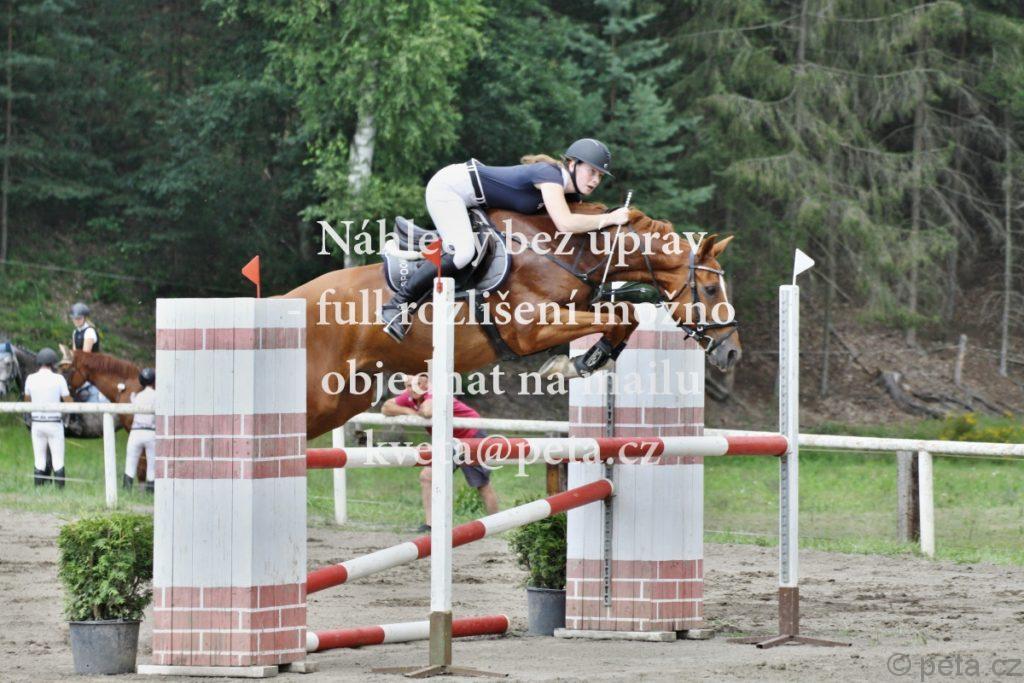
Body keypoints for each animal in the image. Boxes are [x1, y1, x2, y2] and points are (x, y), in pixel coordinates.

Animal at [284, 203, 741, 439]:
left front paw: (584, 362)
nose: (732, 352)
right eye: (711, 290)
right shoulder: (528, 329)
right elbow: (619, 316)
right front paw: (571, 365)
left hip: (345, 399)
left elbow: (623, 315)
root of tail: (286, 299)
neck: (567, 251)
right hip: (319, 395)